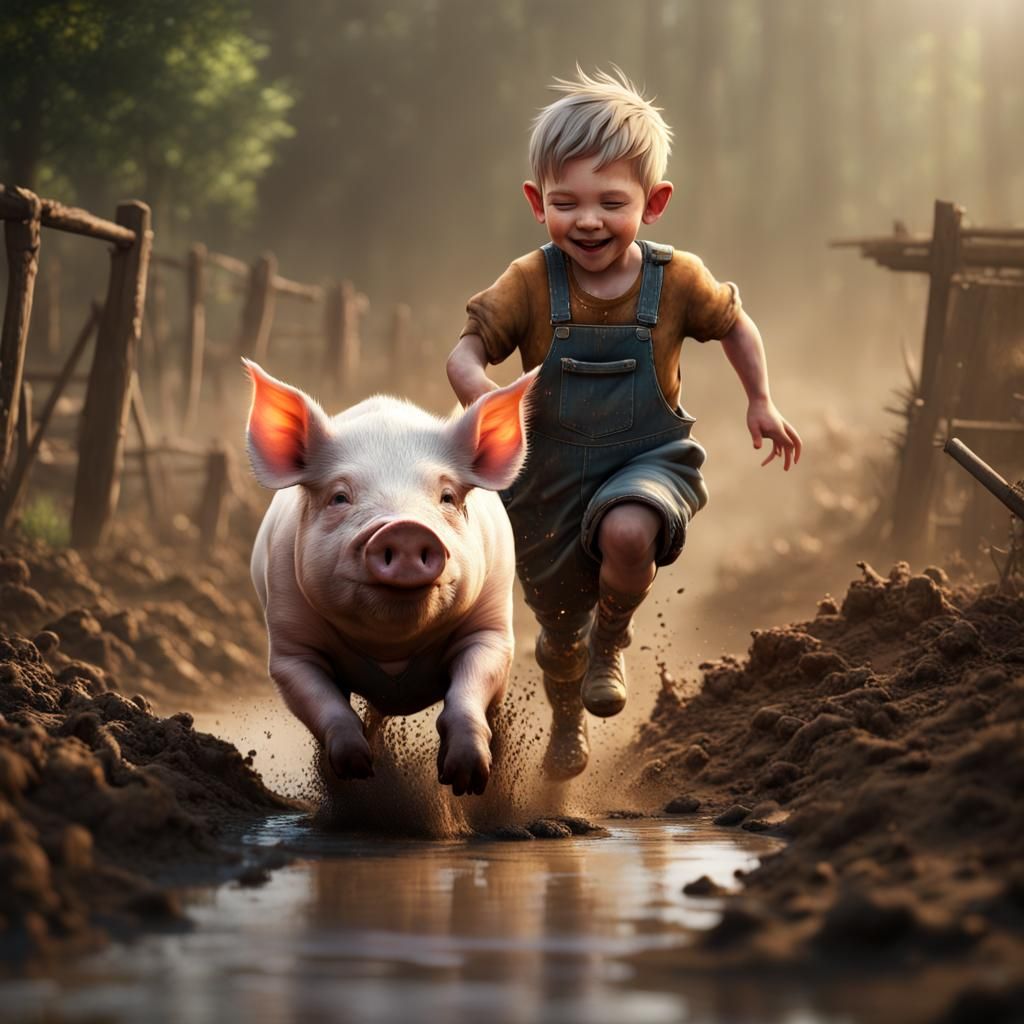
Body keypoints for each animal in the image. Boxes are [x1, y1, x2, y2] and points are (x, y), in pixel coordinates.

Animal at [243, 359, 536, 797]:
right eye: (339, 497)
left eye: (447, 497)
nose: (405, 528)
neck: (393, 648)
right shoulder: (289, 646)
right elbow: (326, 706)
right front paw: (356, 771)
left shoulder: (492, 627)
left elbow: (468, 691)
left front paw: (465, 782)